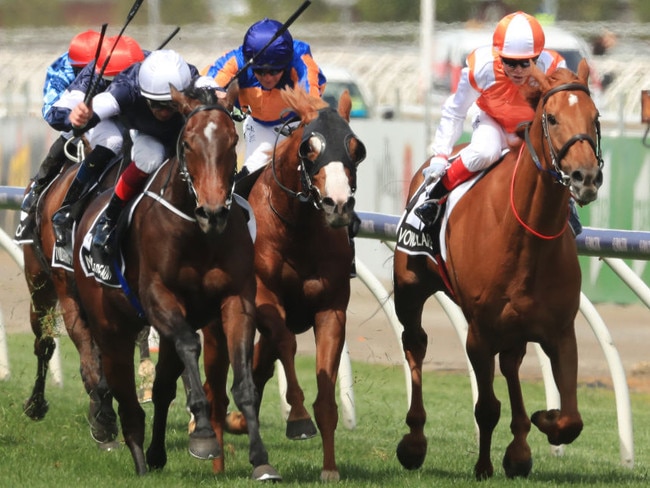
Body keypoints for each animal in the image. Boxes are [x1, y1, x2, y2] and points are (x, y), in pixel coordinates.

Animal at [71, 83, 278, 480]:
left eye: (232, 141)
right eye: (189, 144)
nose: (212, 212)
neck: (197, 234)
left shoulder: (236, 299)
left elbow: (243, 379)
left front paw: (261, 459)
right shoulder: (158, 297)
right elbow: (189, 345)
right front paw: (203, 435)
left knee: (163, 386)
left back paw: (154, 454)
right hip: (111, 327)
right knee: (126, 397)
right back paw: (136, 455)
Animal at [223, 86, 364, 480]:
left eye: (356, 148)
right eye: (308, 148)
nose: (338, 205)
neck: (297, 229)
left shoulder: (331, 309)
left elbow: (325, 387)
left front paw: (329, 468)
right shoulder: (265, 298)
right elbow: (285, 343)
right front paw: (298, 419)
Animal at [390, 59, 604, 478]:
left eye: (596, 117)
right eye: (551, 117)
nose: (585, 177)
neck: (525, 233)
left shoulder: (560, 330)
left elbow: (571, 419)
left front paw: (542, 420)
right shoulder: (479, 330)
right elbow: (486, 407)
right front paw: (483, 465)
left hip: (515, 324)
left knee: (511, 362)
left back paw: (519, 447)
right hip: (410, 289)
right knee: (415, 344)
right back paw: (414, 441)